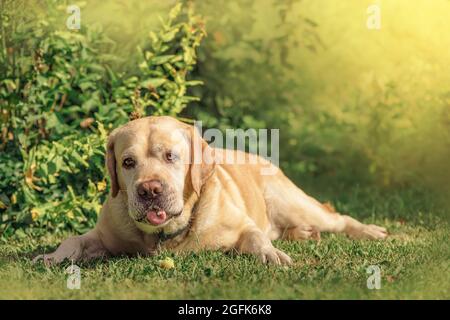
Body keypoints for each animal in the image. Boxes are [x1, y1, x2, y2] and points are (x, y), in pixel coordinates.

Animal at [34, 116, 386, 266]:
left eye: (170, 156)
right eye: (128, 162)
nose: (149, 189)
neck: (165, 235)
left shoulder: (243, 226)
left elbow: (256, 238)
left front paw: (271, 255)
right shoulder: (103, 235)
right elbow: (73, 239)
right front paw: (52, 256)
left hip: (292, 201)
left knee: (337, 219)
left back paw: (369, 231)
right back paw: (303, 235)